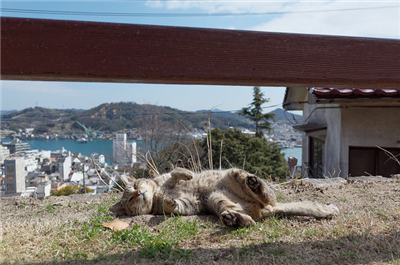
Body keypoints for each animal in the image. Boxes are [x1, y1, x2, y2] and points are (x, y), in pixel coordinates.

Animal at [108, 167, 338, 227]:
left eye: (135, 186)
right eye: (130, 200)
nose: (139, 192)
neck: (156, 194)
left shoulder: (166, 179)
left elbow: (175, 172)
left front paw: (186, 174)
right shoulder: (190, 205)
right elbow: (175, 206)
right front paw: (169, 201)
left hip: (231, 174)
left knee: (265, 195)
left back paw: (253, 182)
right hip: (216, 200)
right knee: (252, 218)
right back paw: (235, 219)